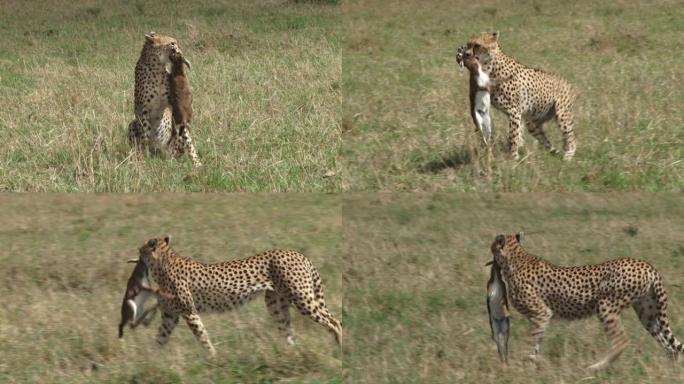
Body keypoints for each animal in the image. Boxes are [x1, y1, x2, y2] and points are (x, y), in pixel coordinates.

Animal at [128, 31, 202, 166]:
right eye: (172, 43)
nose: (178, 47)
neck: (156, 67)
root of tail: (159, 152)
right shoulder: (144, 109)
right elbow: (145, 134)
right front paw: (143, 159)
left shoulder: (173, 104)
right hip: (132, 124)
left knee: (185, 142)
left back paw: (196, 163)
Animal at [134, 237, 342, 356]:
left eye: (141, 249)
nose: (136, 254)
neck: (163, 262)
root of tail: (298, 254)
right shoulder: (170, 316)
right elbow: (160, 338)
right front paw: (152, 361)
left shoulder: (189, 312)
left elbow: (202, 336)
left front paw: (214, 358)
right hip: (275, 304)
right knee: (288, 331)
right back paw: (291, 353)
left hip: (301, 298)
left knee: (335, 322)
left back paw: (338, 350)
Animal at [460, 31, 576, 160]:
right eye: (468, 44)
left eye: (477, 45)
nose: (466, 54)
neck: (489, 65)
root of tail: (567, 82)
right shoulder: (516, 113)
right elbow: (516, 134)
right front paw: (516, 153)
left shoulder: (514, 111)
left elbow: (513, 136)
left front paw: (513, 157)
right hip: (533, 122)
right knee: (546, 140)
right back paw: (555, 153)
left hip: (562, 115)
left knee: (572, 138)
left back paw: (568, 157)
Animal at [492, 232, 684, 370]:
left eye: (493, 246)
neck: (516, 258)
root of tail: (647, 265)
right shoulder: (539, 316)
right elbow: (537, 340)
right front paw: (533, 360)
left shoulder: (542, 312)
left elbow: (531, 339)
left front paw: (523, 361)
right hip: (648, 314)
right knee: (670, 346)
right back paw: (671, 371)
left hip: (606, 306)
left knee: (621, 341)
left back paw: (596, 367)